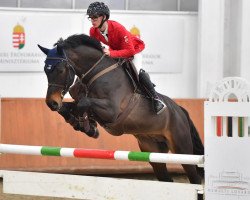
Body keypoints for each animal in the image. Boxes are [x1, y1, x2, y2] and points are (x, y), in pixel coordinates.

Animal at [38, 33, 204, 184]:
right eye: (46, 70)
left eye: (60, 70)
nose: (51, 103)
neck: (98, 72)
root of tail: (181, 111)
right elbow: (70, 107)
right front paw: (83, 124)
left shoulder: (112, 111)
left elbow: (83, 103)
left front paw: (87, 126)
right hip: (153, 150)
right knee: (165, 178)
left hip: (182, 149)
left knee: (194, 177)